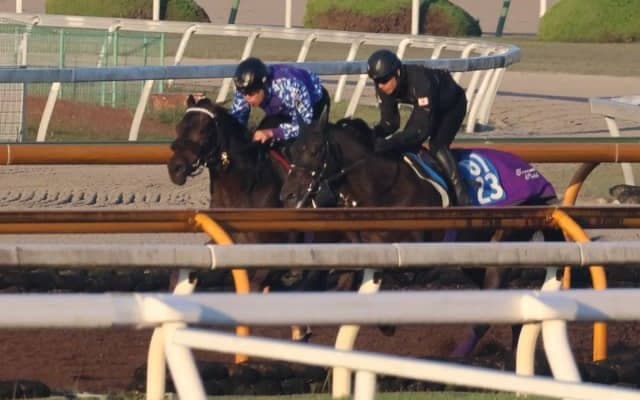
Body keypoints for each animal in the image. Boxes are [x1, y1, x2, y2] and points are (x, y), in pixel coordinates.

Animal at [279, 117, 563, 357]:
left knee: (485, 316)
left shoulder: (414, 251)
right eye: (292, 150)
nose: (288, 196)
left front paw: (387, 323)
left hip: (502, 245)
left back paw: (456, 360)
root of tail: (537, 177)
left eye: (315, 150)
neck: (382, 187)